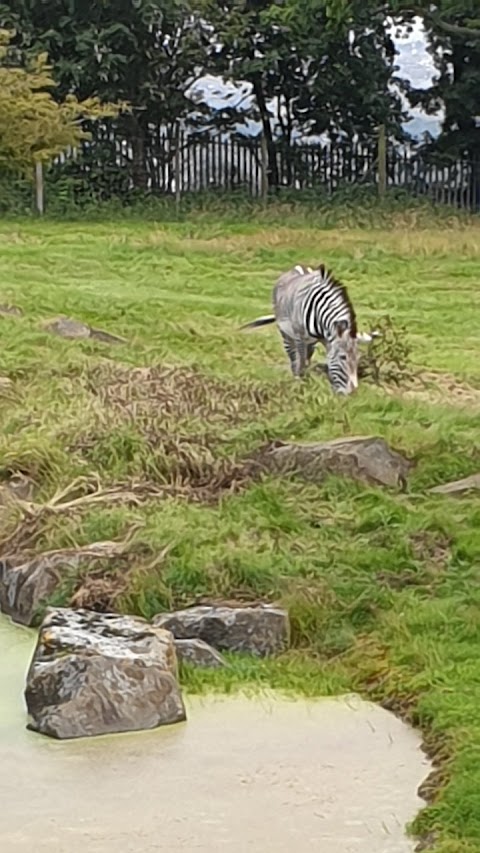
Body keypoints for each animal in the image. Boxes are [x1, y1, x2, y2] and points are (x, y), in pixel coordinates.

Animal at [242, 262, 374, 396]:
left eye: (358, 358)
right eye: (343, 357)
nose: (353, 393)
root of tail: (297, 267)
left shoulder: (323, 339)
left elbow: (313, 359)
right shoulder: (300, 338)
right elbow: (302, 361)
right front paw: (302, 384)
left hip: (309, 341)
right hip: (286, 332)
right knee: (292, 355)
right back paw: (295, 376)